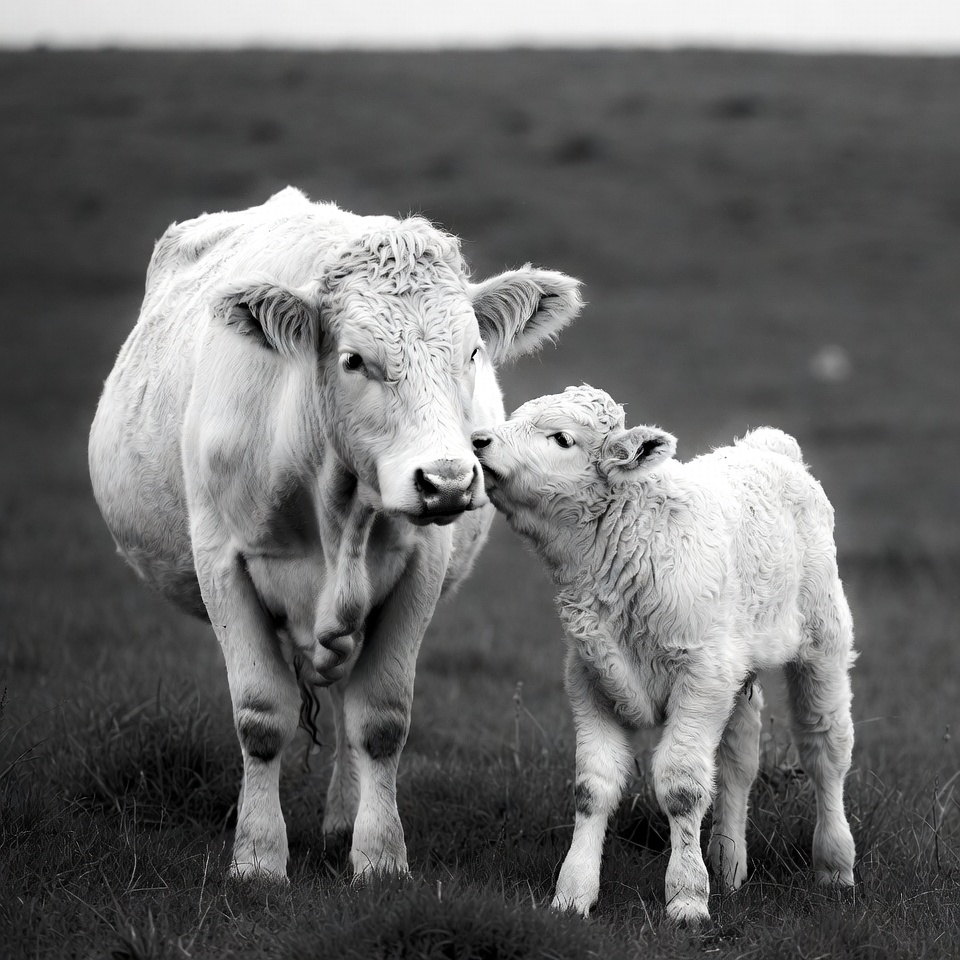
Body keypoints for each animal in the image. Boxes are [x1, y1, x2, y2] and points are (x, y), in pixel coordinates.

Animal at [88, 188, 582, 881]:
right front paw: (258, 858)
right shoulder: (221, 562)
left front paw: (379, 855)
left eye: (472, 354)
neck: (335, 510)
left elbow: (380, 718)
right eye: (354, 359)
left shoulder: (422, 565)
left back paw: (346, 820)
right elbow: (261, 716)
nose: (448, 481)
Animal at [472, 385, 856, 924]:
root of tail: (768, 446)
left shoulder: (699, 678)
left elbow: (682, 786)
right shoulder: (590, 677)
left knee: (825, 748)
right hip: (736, 672)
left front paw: (687, 897)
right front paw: (572, 892)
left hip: (822, 645)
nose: (478, 440)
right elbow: (593, 786)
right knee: (739, 757)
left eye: (562, 438)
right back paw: (729, 863)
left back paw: (835, 866)